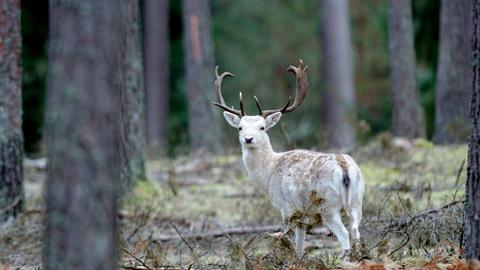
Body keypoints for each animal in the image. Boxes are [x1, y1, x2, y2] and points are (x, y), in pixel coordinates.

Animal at [212, 60, 366, 260]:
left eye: (262, 127)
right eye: (240, 127)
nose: (248, 139)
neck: (269, 174)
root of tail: (344, 168)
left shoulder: (286, 207)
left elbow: (289, 240)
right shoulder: (301, 215)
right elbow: (300, 246)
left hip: (328, 206)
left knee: (345, 234)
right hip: (357, 201)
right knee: (356, 231)